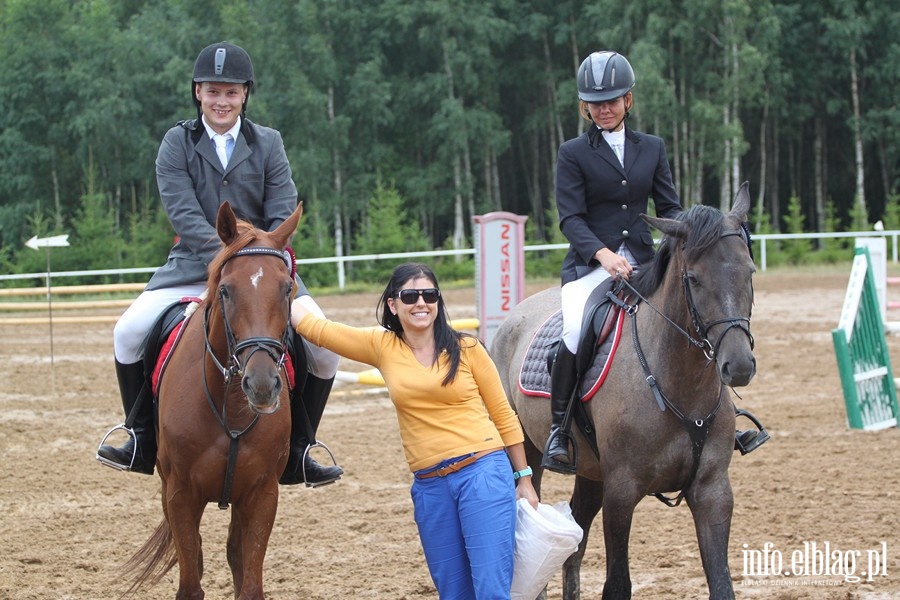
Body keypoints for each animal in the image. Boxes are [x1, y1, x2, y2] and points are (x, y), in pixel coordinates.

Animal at [123, 203, 300, 600]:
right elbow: (190, 580)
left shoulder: (262, 494)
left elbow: (249, 582)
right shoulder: (180, 495)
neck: (230, 404)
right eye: (226, 290)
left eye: (287, 288)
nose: (262, 385)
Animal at [492, 184, 760, 600]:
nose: (739, 365)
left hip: (591, 471)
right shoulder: (622, 492)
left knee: (576, 541)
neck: (679, 386)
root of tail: (516, 313)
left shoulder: (713, 491)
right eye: (694, 278)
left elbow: (721, 583)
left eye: (749, 271)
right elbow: (618, 583)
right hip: (530, 455)